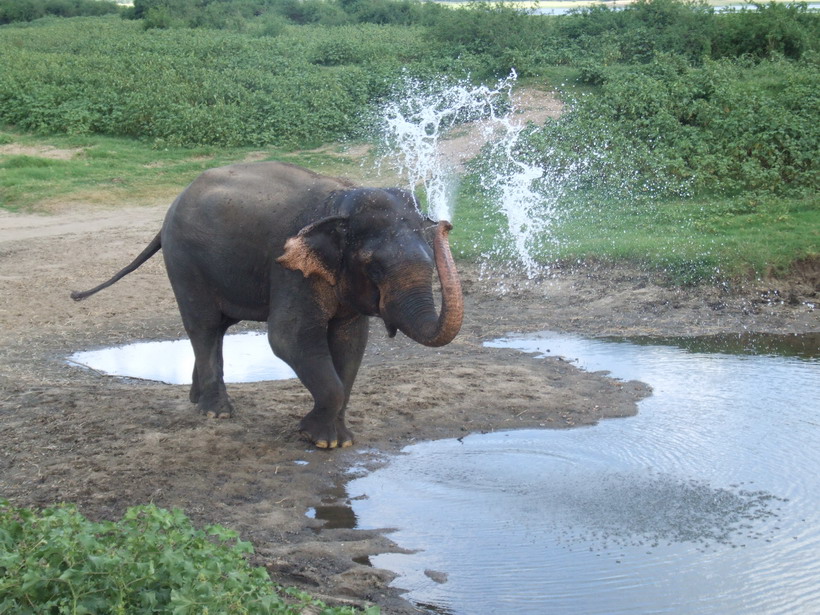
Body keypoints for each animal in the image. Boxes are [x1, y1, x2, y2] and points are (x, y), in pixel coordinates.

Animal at [72, 161, 462, 450]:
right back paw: (217, 413)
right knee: (203, 325)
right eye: (374, 266)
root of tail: (175, 202)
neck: (340, 201)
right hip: (183, 260)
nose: (445, 224)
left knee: (218, 328)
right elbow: (289, 338)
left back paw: (198, 400)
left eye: (430, 258)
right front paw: (315, 438)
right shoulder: (290, 270)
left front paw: (339, 441)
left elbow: (351, 344)